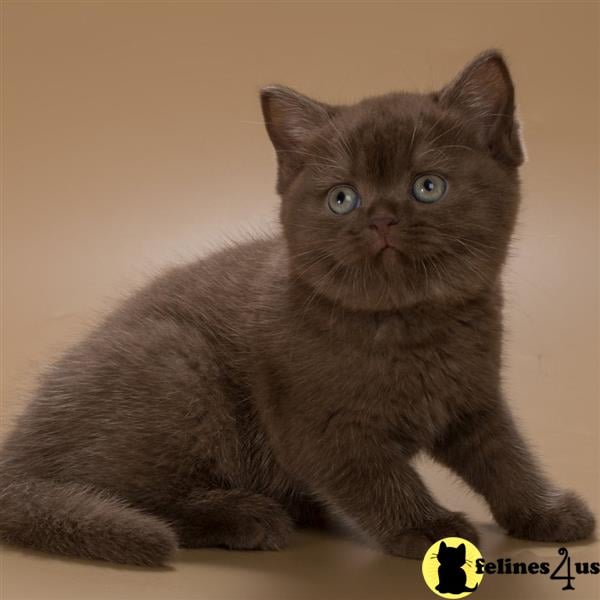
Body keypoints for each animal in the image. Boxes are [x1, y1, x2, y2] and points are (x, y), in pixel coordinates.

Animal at [0, 49, 596, 564]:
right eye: (342, 198)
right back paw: (245, 515)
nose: (381, 217)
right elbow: (379, 476)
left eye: (428, 186)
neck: (412, 327)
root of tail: (16, 459)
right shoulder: (322, 428)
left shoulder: (474, 398)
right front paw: (429, 528)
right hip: (177, 362)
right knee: (143, 498)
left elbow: (506, 456)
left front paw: (545, 512)